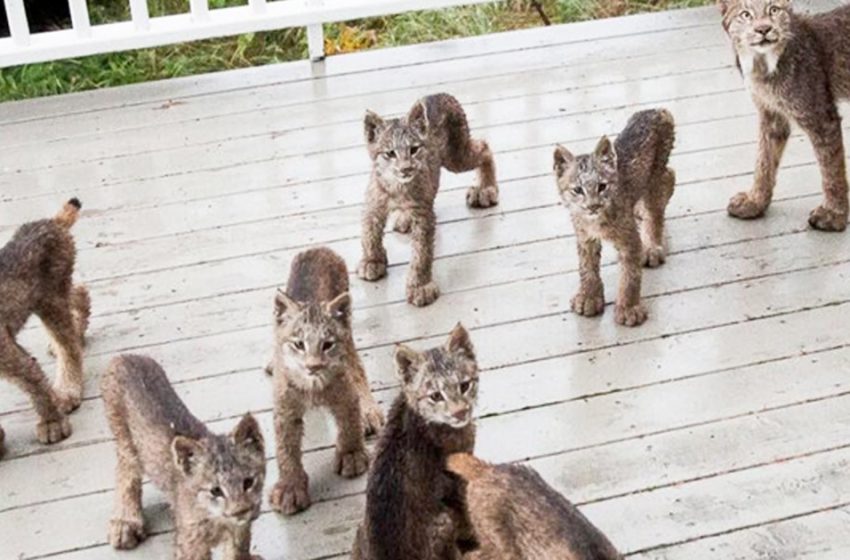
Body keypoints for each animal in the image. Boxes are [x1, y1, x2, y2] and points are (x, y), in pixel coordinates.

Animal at [548, 109, 676, 326]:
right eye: (577, 190)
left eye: (602, 186)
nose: (592, 206)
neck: (595, 219)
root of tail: (656, 110)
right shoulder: (585, 237)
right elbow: (587, 267)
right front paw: (589, 297)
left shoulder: (629, 239)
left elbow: (630, 275)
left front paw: (628, 308)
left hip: (654, 176)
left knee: (663, 189)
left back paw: (652, 247)